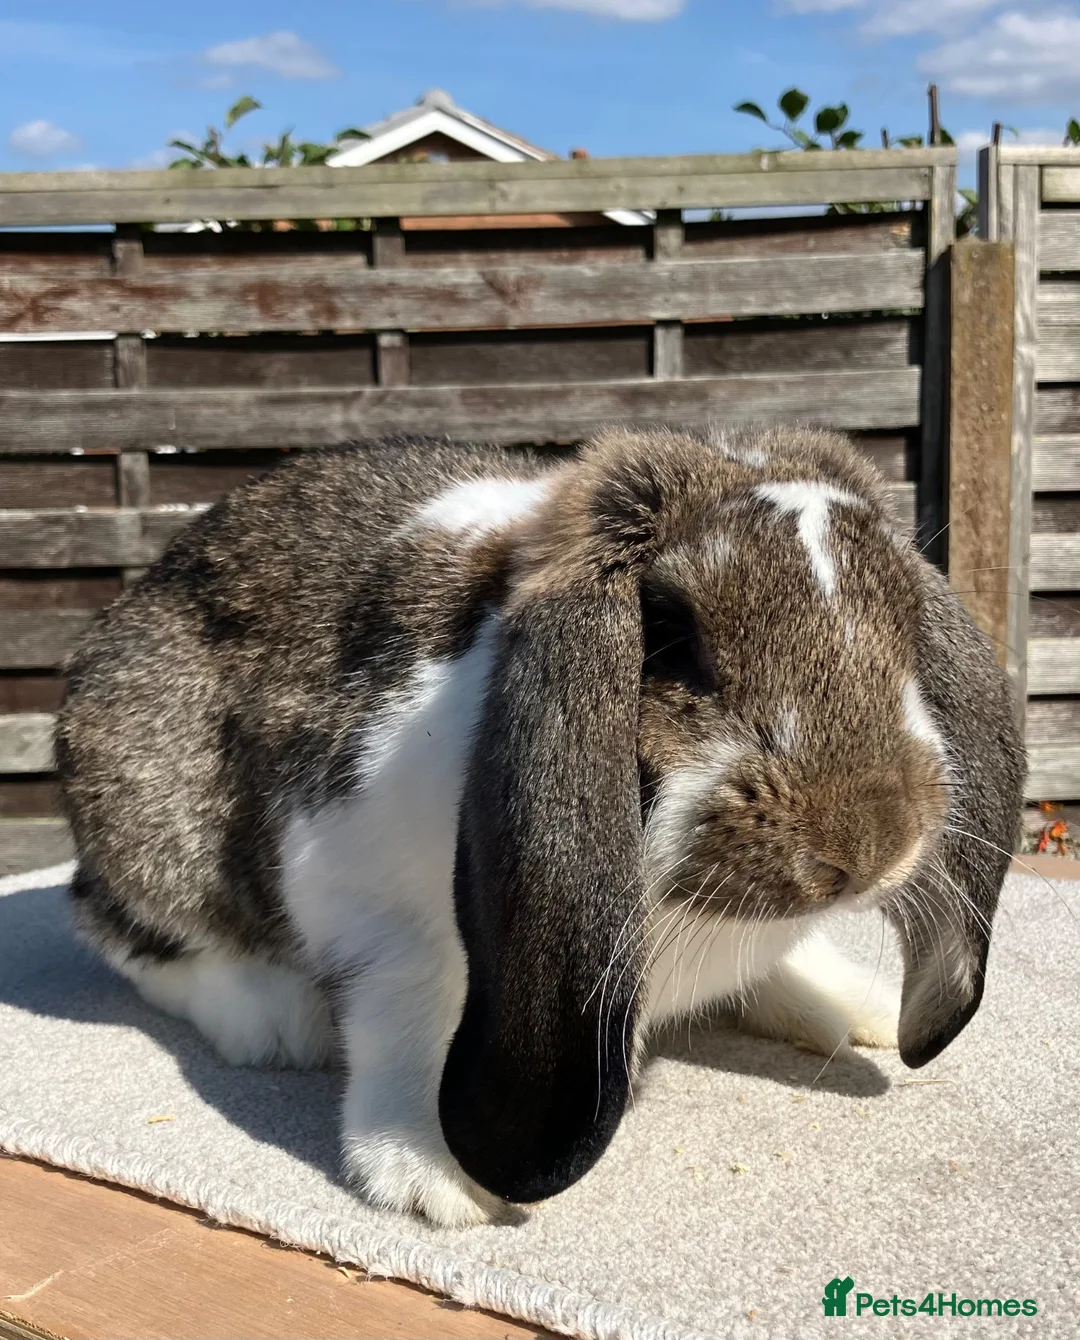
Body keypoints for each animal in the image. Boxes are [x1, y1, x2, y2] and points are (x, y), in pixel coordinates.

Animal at [56, 424, 1025, 1228]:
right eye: (672, 638)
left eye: (903, 632)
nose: (870, 846)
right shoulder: (360, 894)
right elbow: (409, 1011)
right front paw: (436, 1177)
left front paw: (848, 1002)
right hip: (146, 814)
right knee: (122, 930)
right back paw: (271, 1019)